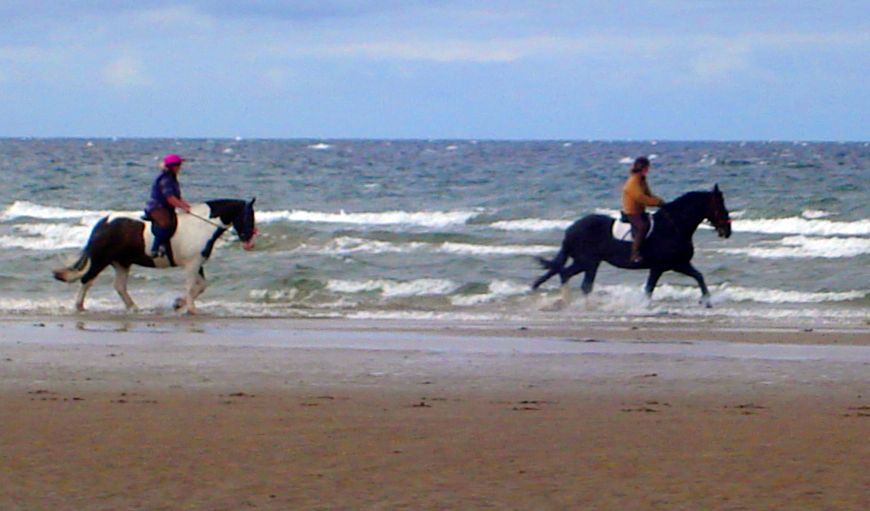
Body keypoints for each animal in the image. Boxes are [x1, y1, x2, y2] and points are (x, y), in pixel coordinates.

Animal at [54, 199, 258, 312]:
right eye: (248, 216)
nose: (249, 242)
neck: (202, 225)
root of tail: (103, 222)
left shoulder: (197, 264)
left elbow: (201, 286)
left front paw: (179, 304)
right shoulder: (192, 264)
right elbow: (191, 286)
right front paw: (189, 308)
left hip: (121, 263)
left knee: (119, 286)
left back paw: (133, 307)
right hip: (100, 260)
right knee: (87, 280)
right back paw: (79, 306)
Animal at [536, 187, 732, 310]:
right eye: (719, 206)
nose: (727, 231)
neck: (673, 226)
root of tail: (570, 229)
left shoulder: (678, 264)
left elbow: (698, 276)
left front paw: (707, 301)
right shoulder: (664, 266)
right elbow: (650, 289)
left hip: (589, 263)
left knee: (571, 277)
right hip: (587, 262)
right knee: (575, 280)